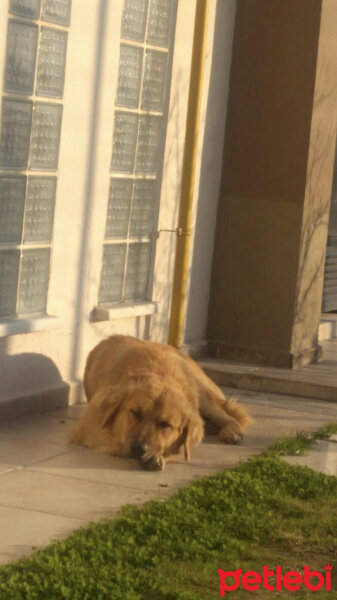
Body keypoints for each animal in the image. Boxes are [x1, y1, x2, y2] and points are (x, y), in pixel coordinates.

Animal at [69, 338, 249, 468]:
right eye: (135, 413)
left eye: (166, 425)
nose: (139, 449)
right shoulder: (86, 429)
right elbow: (116, 440)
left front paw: (157, 455)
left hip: (203, 396)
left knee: (230, 417)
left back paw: (231, 432)